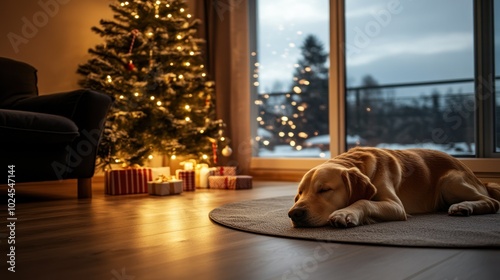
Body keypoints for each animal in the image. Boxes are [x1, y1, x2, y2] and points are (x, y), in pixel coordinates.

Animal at [290, 147, 500, 228]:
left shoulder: (396, 206)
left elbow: (364, 201)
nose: (294, 214)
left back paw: (463, 206)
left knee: (492, 202)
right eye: (299, 194)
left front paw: (345, 213)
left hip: (450, 181)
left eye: (324, 190)